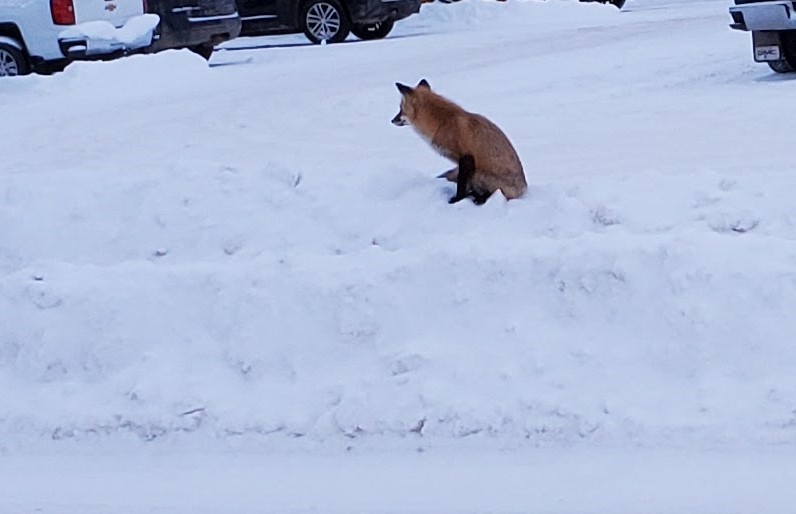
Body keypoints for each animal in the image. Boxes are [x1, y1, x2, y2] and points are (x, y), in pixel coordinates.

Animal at [391, 79, 527, 204]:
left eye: (400, 108)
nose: (392, 120)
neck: (442, 124)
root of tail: (524, 190)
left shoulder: (466, 157)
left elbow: (461, 185)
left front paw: (456, 200)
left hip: (479, 173)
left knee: (494, 192)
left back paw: (480, 198)